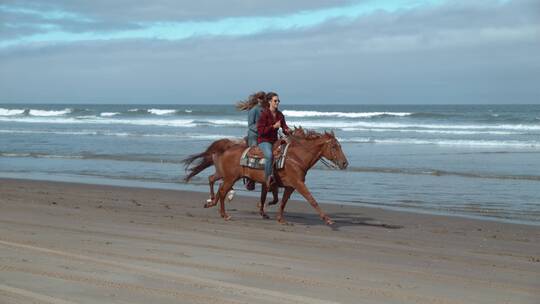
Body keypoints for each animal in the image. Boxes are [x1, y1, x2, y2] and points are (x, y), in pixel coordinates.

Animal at [184, 127, 348, 224]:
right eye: (334, 146)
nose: (345, 163)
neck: (296, 157)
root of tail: (225, 149)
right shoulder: (297, 184)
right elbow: (311, 199)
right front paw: (327, 219)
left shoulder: (288, 186)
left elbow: (281, 201)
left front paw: (279, 218)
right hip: (230, 177)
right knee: (222, 190)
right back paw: (223, 213)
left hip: (226, 176)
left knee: (214, 182)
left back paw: (212, 203)